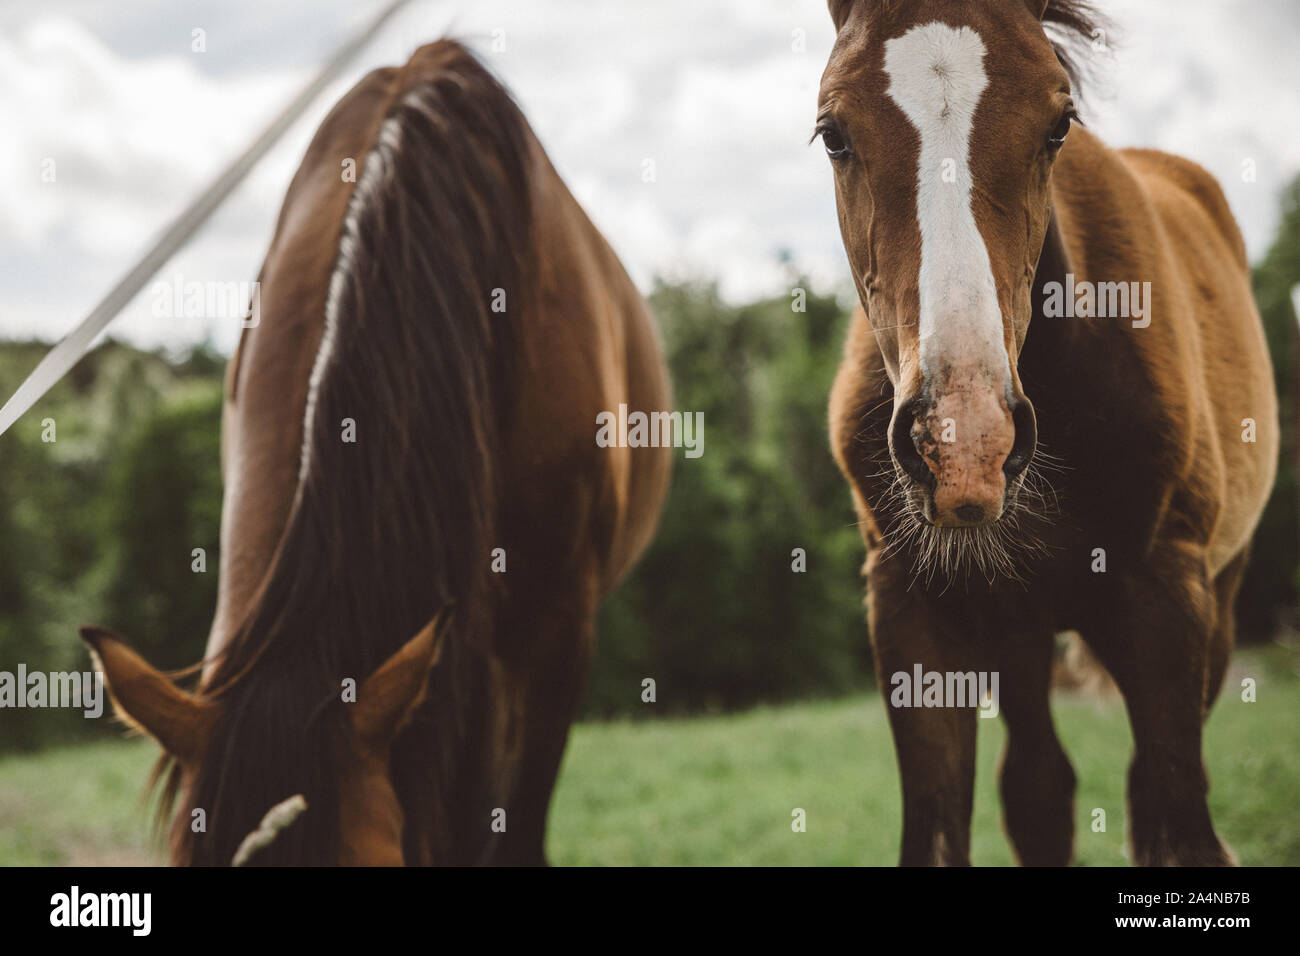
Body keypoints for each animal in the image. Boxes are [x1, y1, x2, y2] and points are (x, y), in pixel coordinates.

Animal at [821, 0, 1279, 868]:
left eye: (1058, 124)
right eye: (833, 133)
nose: (964, 447)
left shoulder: (1168, 595)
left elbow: (1182, 822)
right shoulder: (911, 610)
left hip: (1220, 599)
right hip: (1021, 632)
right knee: (1040, 789)